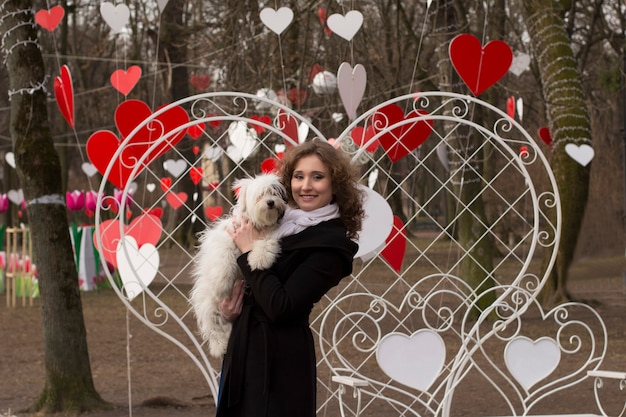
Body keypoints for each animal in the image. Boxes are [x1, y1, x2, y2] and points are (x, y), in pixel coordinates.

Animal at [189, 174, 286, 356]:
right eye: (260, 195)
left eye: (274, 192)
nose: (271, 202)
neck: (257, 225)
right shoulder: (226, 240)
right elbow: (224, 259)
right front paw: (222, 285)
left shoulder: (271, 236)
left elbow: (266, 244)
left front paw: (258, 259)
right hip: (209, 304)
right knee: (214, 326)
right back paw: (220, 346)